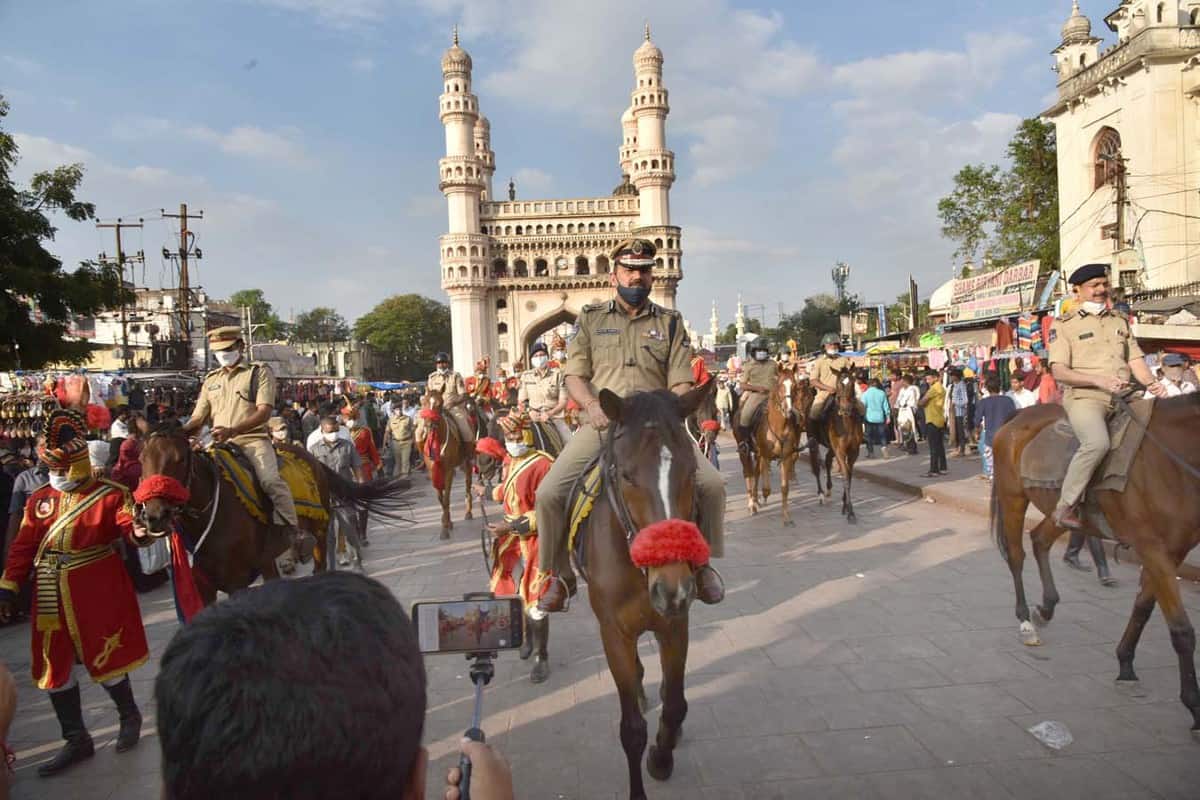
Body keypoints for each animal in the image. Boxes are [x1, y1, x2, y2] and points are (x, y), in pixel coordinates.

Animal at [136, 429, 412, 604]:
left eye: (180, 459)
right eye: (142, 459)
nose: (155, 515)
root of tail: (311, 457)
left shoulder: (238, 580)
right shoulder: (204, 586)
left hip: (320, 529)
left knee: (320, 562)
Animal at [417, 391, 477, 542]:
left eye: (439, 404)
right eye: (424, 402)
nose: (429, 425)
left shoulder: (449, 470)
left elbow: (446, 498)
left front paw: (444, 529)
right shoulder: (433, 471)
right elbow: (441, 498)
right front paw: (447, 522)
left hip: (467, 461)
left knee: (468, 484)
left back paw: (468, 511)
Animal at [580, 383, 710, 796]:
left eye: (692, 471)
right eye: (626, 476)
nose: (672, 588)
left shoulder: (676, 625)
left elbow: (676, 704)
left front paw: (661, 757)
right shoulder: (613, 633)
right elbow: (632, 729)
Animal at [806, 367, 864, 522]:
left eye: (852, 383)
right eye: (838, 385)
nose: (845, 409)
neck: (846, 422)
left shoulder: (854, 452)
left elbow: (849, 475)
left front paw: (845, 506)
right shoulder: (840, 451)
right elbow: (844, 474)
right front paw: (850, 512)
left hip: (831, 447)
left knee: (826, 460)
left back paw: (828, 490)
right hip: (813, 441)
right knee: (816, 466)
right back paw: (821, 494)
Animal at [988, 393, 1200, 734]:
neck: (1172, 460)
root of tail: (1019, 416)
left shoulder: (1173, 552)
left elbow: (1143, 606)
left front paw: (1125, 664)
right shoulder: (1153, 549)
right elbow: (1181, 631)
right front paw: (1194, 706)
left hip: (1062, 509)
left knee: (1040, 539)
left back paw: (1047, 607)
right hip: (1013, 497)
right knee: (1017, 556)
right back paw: (1025, 621)